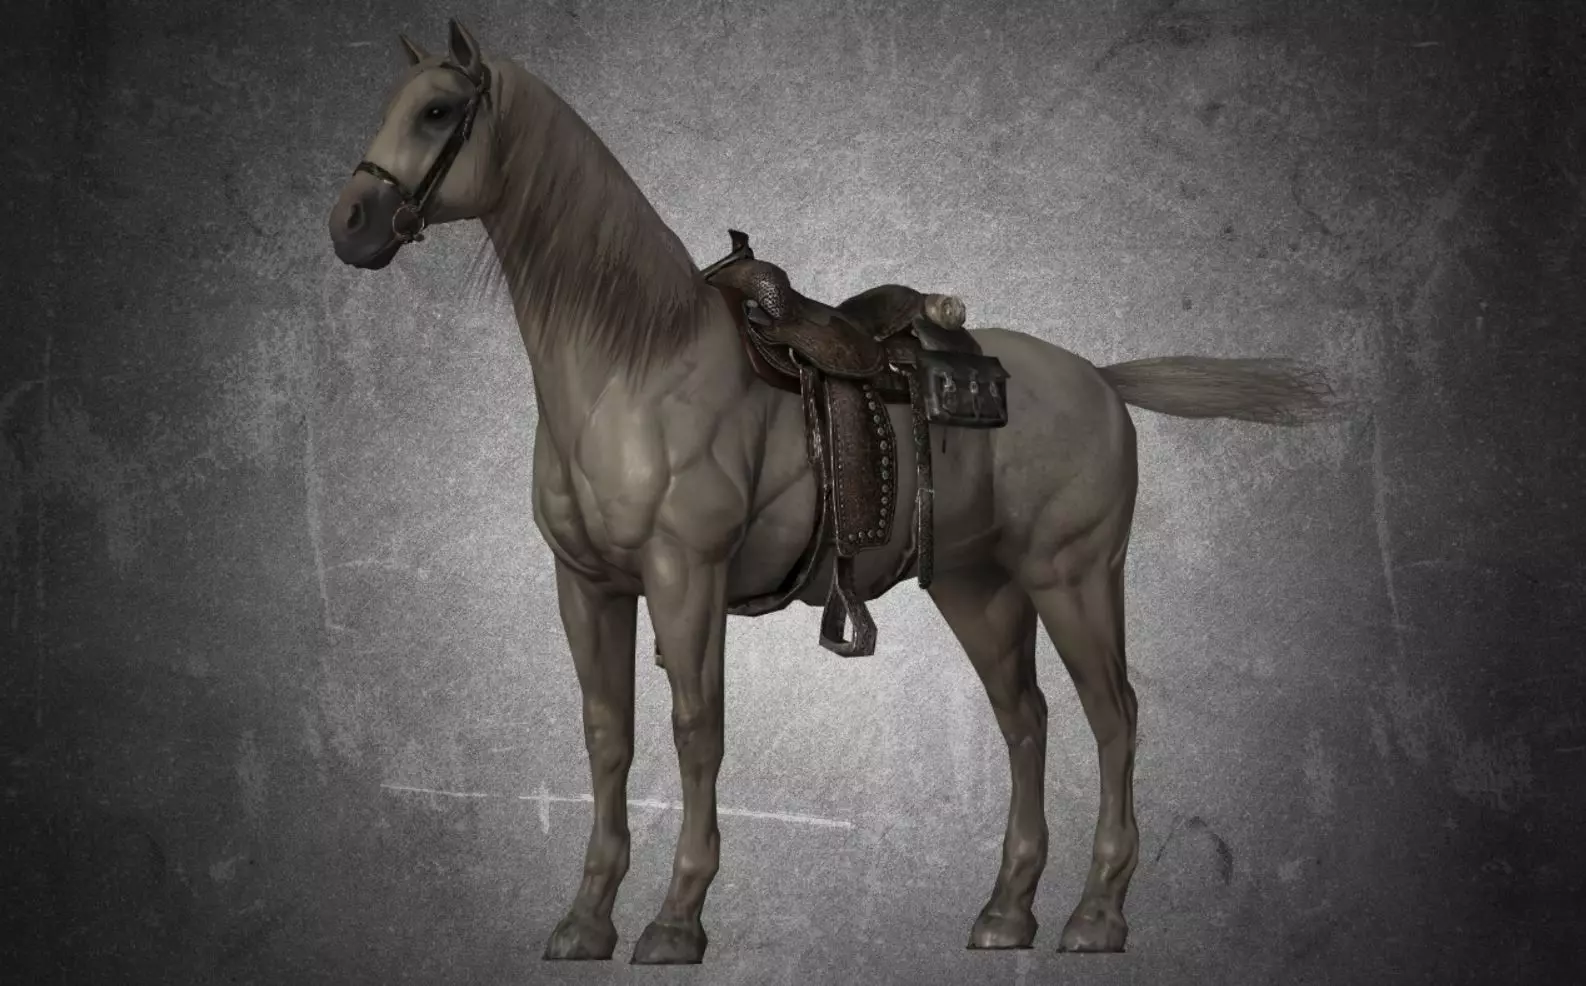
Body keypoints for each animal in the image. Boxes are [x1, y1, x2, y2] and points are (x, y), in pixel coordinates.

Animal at [327, 19, 1339, 965]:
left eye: (438, 111)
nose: (349, 222)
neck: (632, 365)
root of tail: (1099, 378)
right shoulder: (587, 585)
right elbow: (607, 737)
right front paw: (584, 921)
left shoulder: (685, 577)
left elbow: (697, 730)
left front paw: (676, 920)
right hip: (980, 589)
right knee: (1027, 722)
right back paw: (1006, 913)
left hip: (1075, 579)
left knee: (1114, 718)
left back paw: (1097, 916)